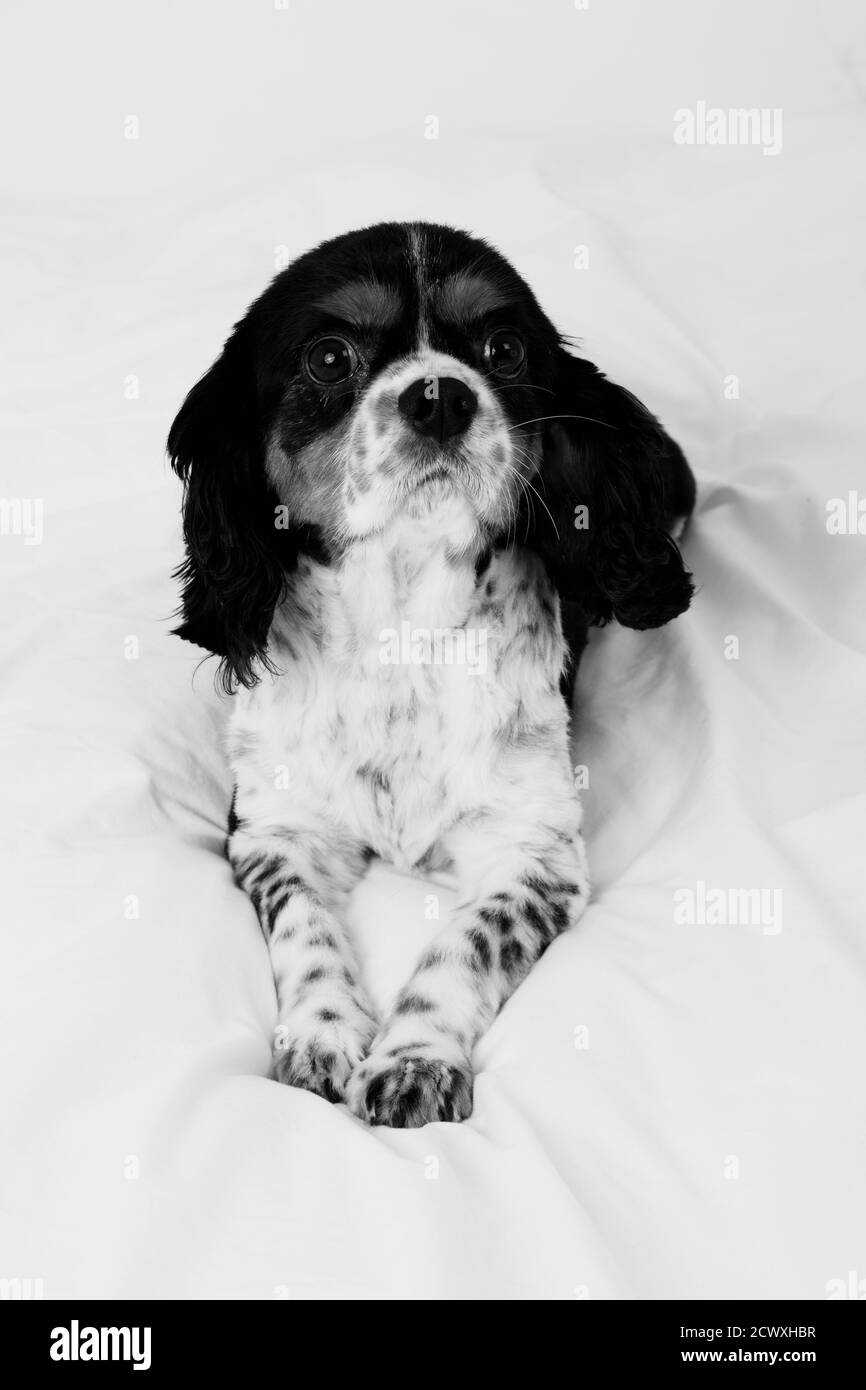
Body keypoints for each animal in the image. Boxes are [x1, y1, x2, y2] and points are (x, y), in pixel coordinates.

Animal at [169, 219, 697, 1128]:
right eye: (330, 357)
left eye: (505, 348)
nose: (441, 396)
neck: (402, 631)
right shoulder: (273, 827)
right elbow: (304, 925)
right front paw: (323, 1035)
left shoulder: (534, 849)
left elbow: (466, 941)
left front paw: (415, 1059)